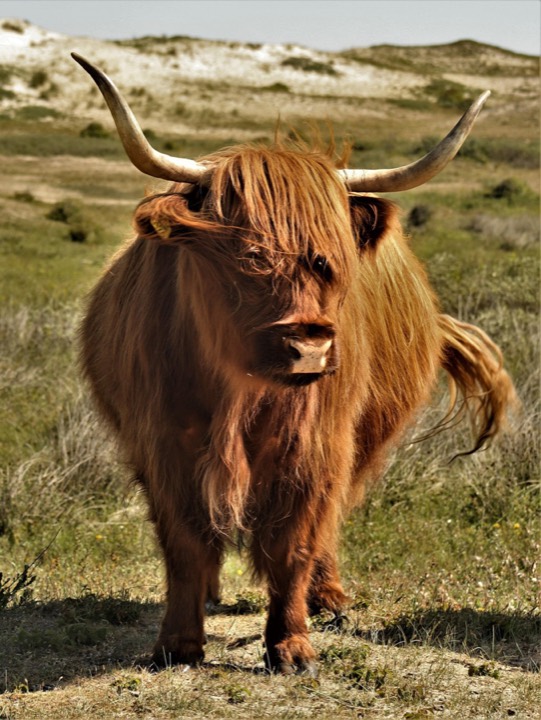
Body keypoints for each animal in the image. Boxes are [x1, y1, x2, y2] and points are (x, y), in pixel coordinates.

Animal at [72, 53, 516, 675]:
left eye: (330, 260)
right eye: (245, 254)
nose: (308, 348)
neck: (237, 392)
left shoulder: (317, 447)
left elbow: (295, 541)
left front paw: (291, 645)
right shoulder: (164, 446)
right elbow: (185, 543)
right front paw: (178, 643)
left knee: (329, 523)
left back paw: (328, 598)